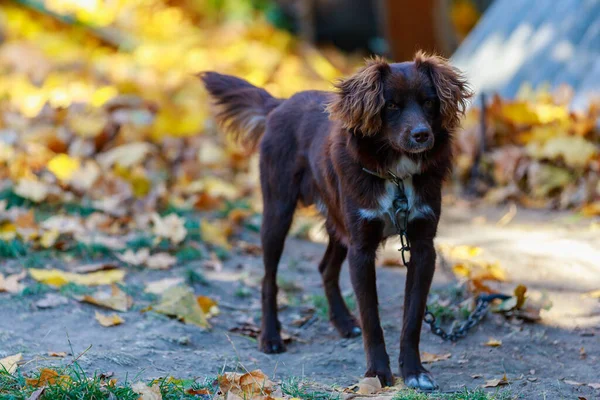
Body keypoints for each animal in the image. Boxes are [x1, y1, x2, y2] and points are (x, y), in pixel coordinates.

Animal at [202, 52, 474, 390]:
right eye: (391, 105)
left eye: (428, 102)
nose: (422, 135)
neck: (397, 174)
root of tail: (281, 104)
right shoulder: (362, 248)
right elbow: (372, 318)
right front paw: (378, 374)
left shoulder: (423, 248)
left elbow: (412, 318)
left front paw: (414, 371)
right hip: (278, 211)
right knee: (269, 278)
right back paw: (271, 337)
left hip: (339, 224)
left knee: (325, 268)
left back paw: (343, 322)